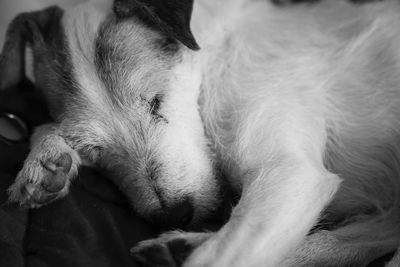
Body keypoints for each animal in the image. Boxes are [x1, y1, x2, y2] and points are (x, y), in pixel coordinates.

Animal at [0, 0, 400, 266]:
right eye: (93, 148)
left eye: (157, 101)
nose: (174, 215)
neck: (214, 63)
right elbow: (46, 128)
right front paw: (46, 162)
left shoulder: (289, 176)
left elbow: (223, 256)